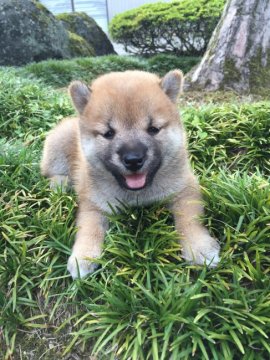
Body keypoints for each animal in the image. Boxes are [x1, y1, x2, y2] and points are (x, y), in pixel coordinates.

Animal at [41, 69, 220, 278]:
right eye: (108, 133)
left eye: (153, 129)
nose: (133, 159)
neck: (137, 195)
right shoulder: (94, 203)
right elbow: (89, 228)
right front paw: (83, 256)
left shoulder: (185, 189)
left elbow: (190, 220)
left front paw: (199, 247)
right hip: (59, 145)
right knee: (51, 171)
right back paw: (60, 184)